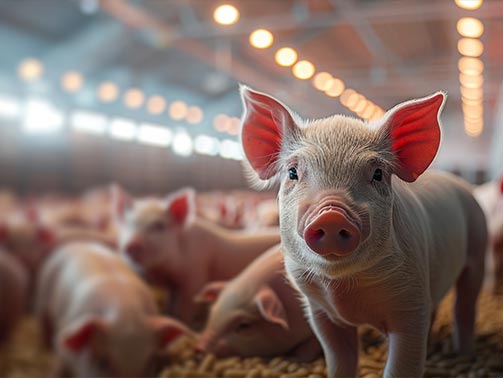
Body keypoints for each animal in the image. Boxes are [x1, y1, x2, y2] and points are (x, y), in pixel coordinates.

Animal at [36, 242, 195, 378]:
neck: (125, 310)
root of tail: (78, 243)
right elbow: (59, 365)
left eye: (151, 361)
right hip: (43, 293)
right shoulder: (63, 341)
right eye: (102, 362)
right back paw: (44, 347)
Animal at [113, 186, 284, 324]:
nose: (131, 245)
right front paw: (169, 314)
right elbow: (171, 302)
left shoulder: (195, 274)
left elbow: (186, 304)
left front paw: (183, 321)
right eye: (128, 224)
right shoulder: (173, 285)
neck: (166, 270)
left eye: (159, 226)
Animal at [240, 86, 488, 378]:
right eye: (292, 172)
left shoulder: (411, 303)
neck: (344, 288)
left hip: (478, 246)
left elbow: (402, 365)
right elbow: (339, 359)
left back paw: (466, 354)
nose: (331, 214)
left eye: (378, 173)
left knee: (465, 305)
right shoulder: (319, 311)